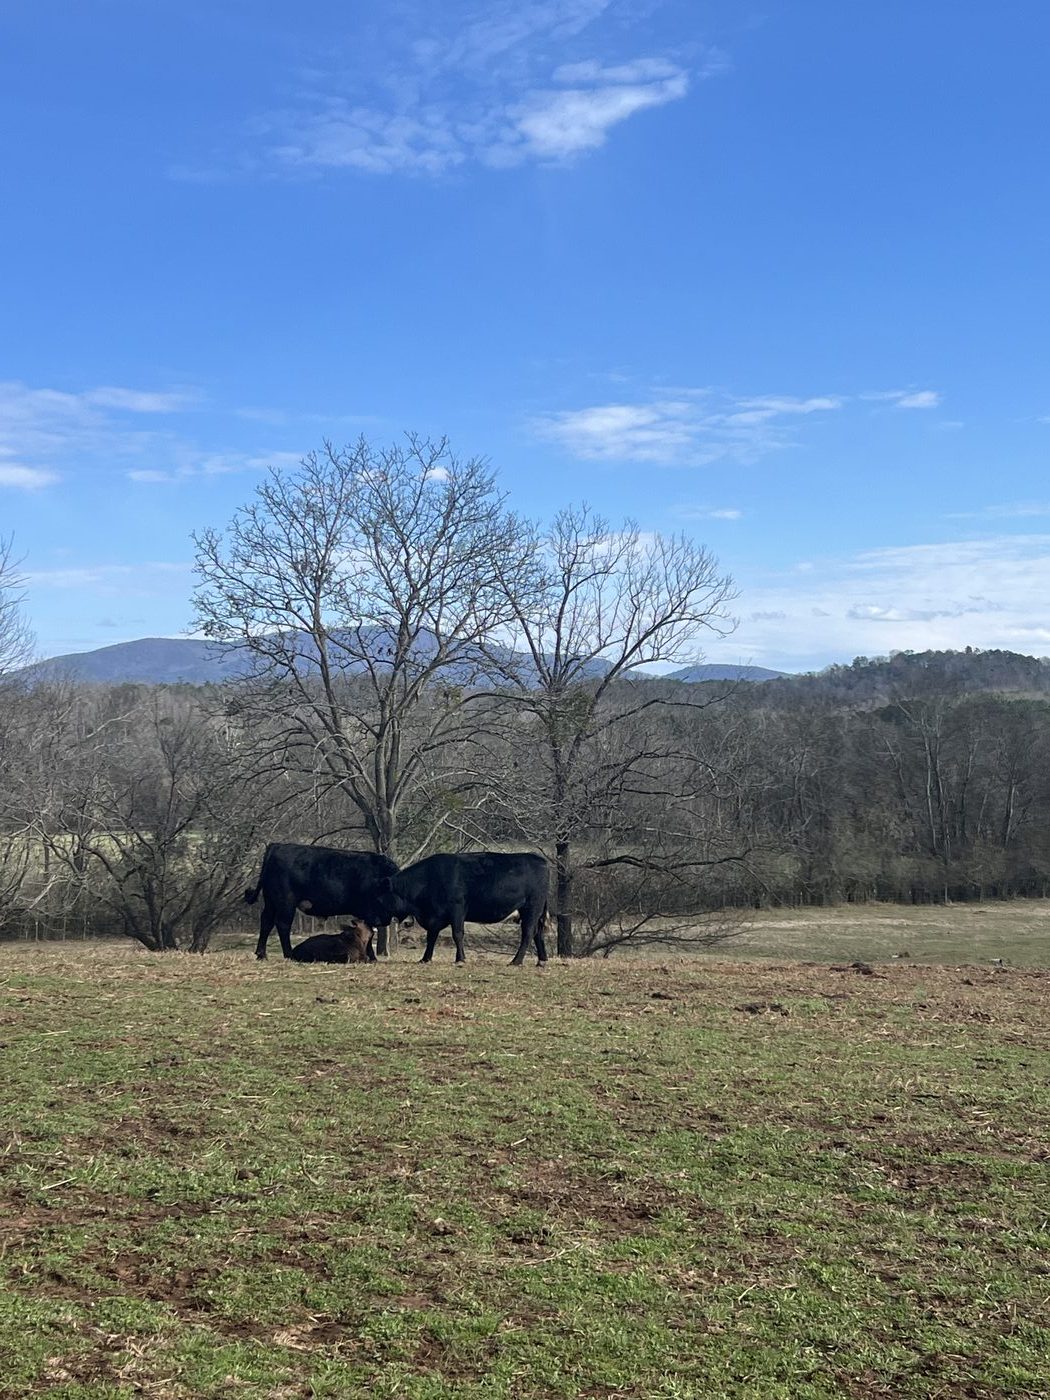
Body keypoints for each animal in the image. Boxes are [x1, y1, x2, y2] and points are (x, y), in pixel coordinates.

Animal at [244, 843, 399, 961]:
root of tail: (276, 846)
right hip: (285, 902)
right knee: (282, 924)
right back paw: (288, 953)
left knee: (266, 922)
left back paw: (261, 954)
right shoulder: (370, 913)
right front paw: (372, 957)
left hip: (271, 901)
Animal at [380, 852, 550, 966]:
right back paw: (541, 961)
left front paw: (460, 959)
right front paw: (425, 958)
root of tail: (540, 860)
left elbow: (457, 934)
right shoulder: (435, 917)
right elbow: (431, 937)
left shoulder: (457, 909)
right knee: (538, 932)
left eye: (379, 898)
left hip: (531, 908)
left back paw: (516, 961)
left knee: (528, 933)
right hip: (535, 912)